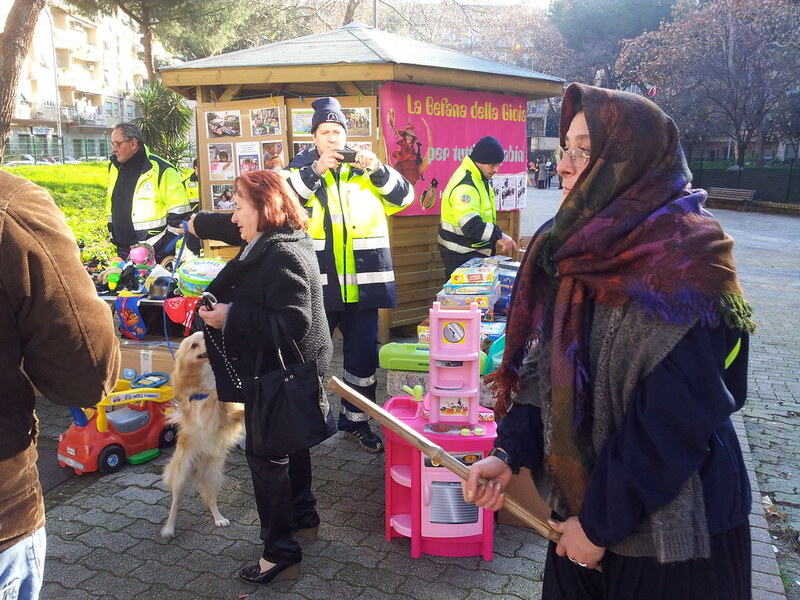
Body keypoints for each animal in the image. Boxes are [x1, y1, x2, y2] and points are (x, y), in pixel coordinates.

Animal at [158, 330, 242, 540]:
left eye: (205, 336)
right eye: (194, 345)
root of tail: (196, 473)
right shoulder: (204, 416)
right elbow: (213, 397)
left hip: (213, 477)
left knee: (211, 500)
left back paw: (219, 518)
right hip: (180, 476)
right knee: (175, 503)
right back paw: (168, 528)